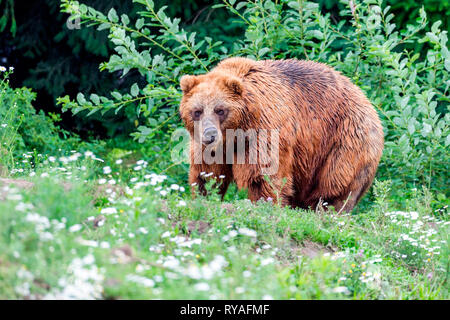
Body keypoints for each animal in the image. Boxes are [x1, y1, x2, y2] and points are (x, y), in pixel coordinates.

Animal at [179, 57, 384, 212]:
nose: (209, 135)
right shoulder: (210, 146)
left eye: (220, 110)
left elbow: (265, 174)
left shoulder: (264, 129)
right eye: (197, 111)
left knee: (336, 182)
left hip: (345, 138)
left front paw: (265, 204)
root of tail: (368, 103)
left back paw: (327, 209)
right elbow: (208, 170)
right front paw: (204, 195)